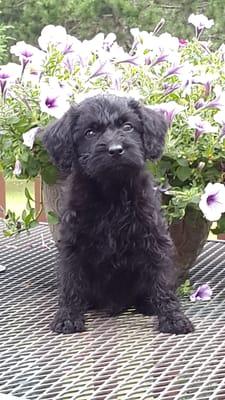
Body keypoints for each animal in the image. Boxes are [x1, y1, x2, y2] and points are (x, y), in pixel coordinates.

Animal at [43, 94, 194, 334]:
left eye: (128, 126)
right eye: (90, 132)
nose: (115, 150)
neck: (112, 193)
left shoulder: (154, 240)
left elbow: (162, 282)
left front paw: (173, 317)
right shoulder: (72, 244)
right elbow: (71, 282)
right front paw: (67, 317)